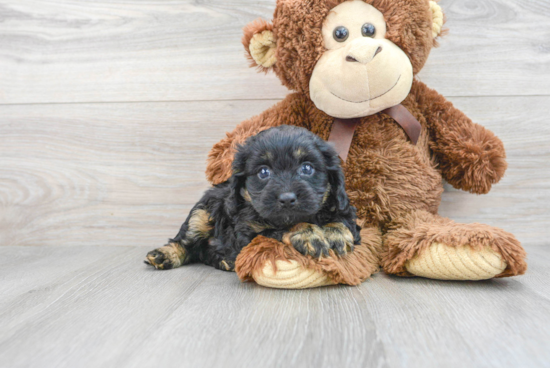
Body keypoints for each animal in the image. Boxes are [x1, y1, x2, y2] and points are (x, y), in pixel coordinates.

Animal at [146, 125, 362, 272]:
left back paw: (223, 260)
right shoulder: (249, 234)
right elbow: (280, 229)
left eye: (307, 168)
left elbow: (344, 220)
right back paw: (164, 255)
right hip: (202, 213)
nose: (287, 199)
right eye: (263, 172)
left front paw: (335, 233)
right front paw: (307, 233)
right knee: (186, 242)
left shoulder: (345, 209)